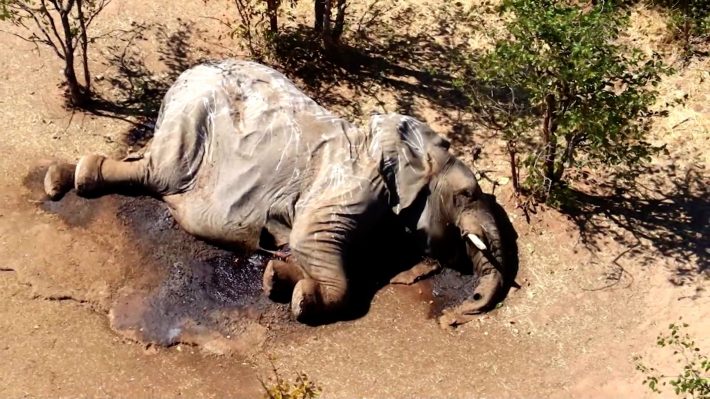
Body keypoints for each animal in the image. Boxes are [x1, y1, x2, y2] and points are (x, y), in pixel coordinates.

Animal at [44, 59, 516, 328]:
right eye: (467, 193)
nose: (456, 318)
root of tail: (186, 74)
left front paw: (276, 278)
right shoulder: (351, 185)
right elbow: (312, 240)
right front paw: (304, 301)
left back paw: (61, 178)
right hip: (191, 119)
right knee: (158, 173)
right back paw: (71, 179)